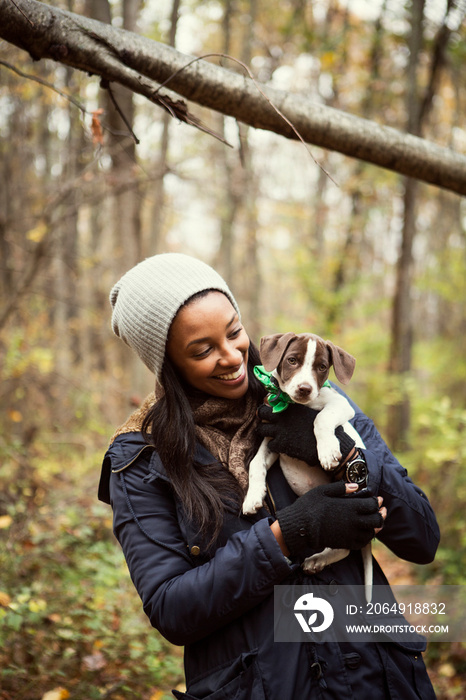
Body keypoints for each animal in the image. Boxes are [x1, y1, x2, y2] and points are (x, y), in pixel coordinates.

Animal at [244, 330, 372, 600]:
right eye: (292, 360)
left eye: (322, 367)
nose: (305, 389)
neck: (298, 406)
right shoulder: (273, 439)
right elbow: (256, 463)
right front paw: (252, 497)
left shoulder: (340, 405)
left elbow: (321, 418)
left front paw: (327, 450)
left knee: (345, 545)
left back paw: (318, 559)